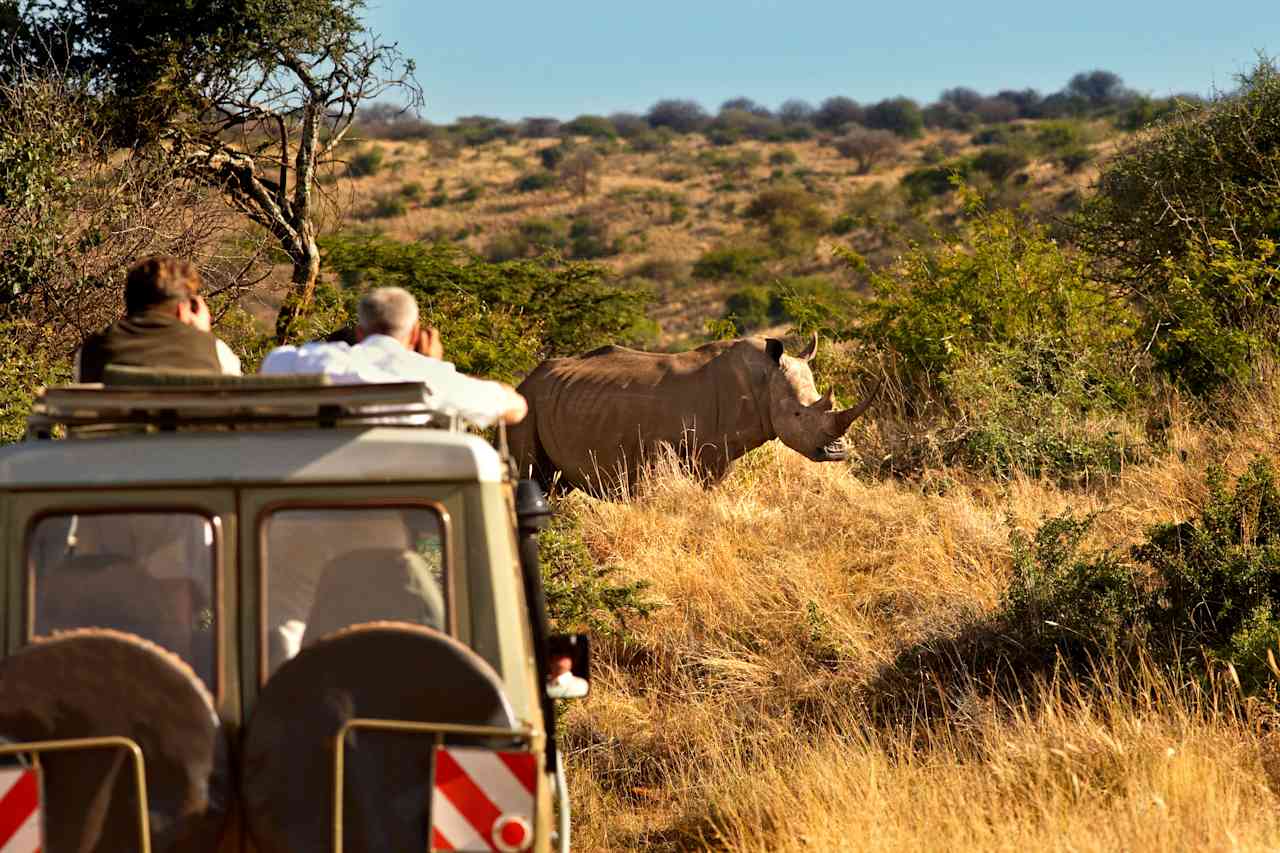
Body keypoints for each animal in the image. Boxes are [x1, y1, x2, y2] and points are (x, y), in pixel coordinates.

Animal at [508, 334, 879, 494]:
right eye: (799, 415)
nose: (838, 452)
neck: (762, 381)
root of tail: (523, 381)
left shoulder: (719, 454)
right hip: (526, 403)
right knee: (532, 476)